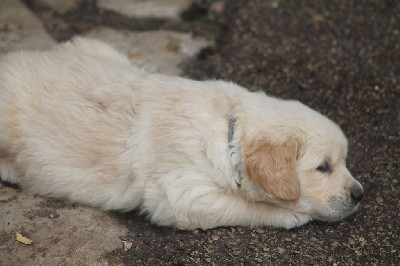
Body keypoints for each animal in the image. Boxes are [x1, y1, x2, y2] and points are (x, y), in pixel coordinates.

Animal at [0, 37, 362, 229]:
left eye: (344, 161)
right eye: (323, 167)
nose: (360, 194)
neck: (228, 131)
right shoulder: (181, 193)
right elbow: (243, 205)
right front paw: (290, 215)